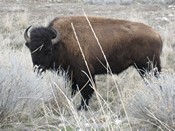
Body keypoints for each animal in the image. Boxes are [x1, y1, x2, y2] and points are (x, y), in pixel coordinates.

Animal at [24, 15, 163, 110]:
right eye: (31, 49)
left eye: (48, 50)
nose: (38, 68)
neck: (61, 43)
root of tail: (157, 35)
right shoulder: (71, 74)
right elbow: (73, 89)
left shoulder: (84, 73)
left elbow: (86, 90)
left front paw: (82, 107)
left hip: (147, 67)